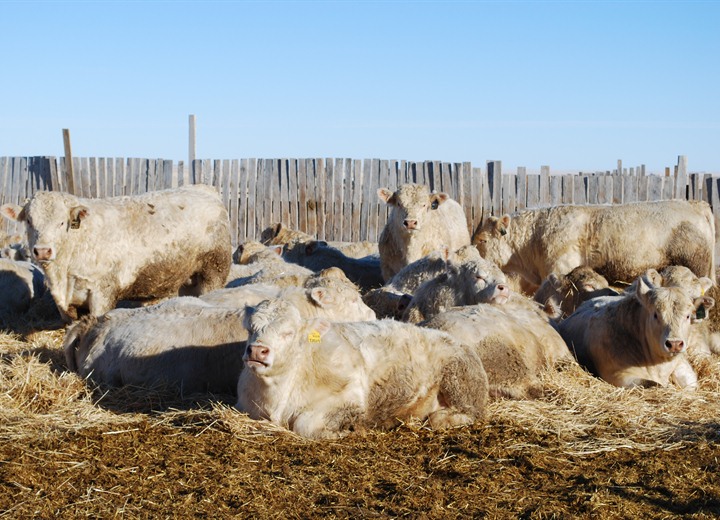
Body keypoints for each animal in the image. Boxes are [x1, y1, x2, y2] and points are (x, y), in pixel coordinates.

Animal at [236, 296, 490, 438]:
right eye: (250, 329)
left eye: (288, 332)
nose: (257, 351)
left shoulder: (347, 399)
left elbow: (303, 424)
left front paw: (344, 431)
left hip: (459, 381)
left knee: (469, 414)